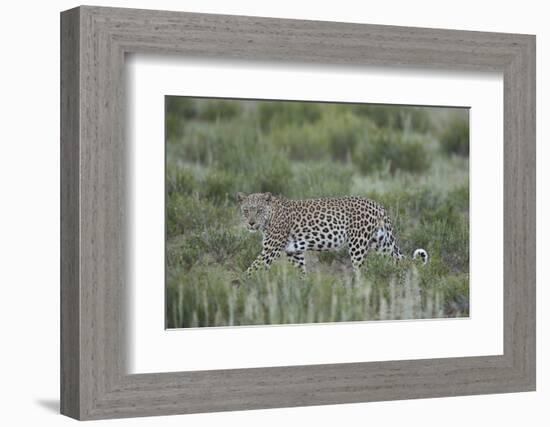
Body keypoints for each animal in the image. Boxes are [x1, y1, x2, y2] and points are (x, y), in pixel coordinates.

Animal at [235, 192, 430, 276]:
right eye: (246, 210)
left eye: (258, 210)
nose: (251, 223)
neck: (270, 216)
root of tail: (377, 205)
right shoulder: (294, 252)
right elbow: (301, 272)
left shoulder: (270, 250)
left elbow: (252, 269)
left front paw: (238, 287)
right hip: (381, 243)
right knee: (399, 261)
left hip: (358, 245)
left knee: (361, 271)